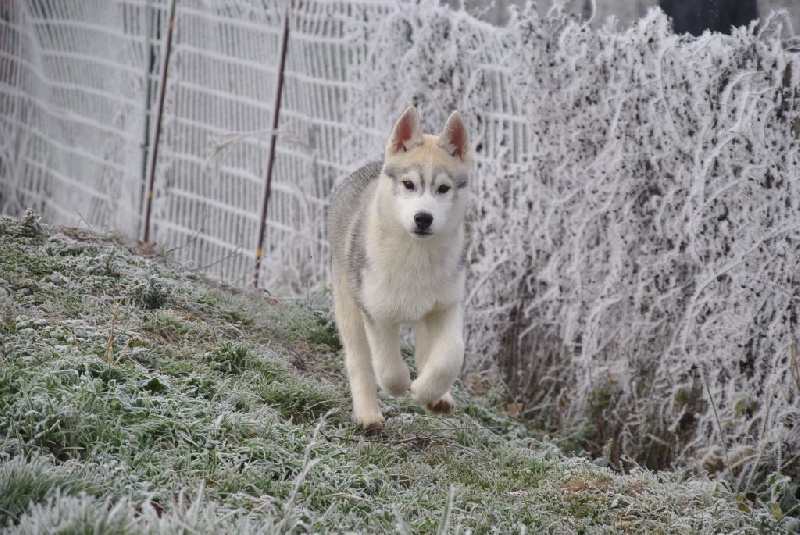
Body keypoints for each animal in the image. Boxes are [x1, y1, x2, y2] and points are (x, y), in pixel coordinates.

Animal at [328, 107, 472, 430]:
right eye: (409, 185)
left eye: (443, 188)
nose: (423, 218)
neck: (416, 256)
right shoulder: (376, 311)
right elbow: (387, 366)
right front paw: (401, 386)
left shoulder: (447, 305)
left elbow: (452, 354)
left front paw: (425, 391)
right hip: (348, 307)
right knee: (359, 360)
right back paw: (368, 416)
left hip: (427, 313)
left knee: (427, 349)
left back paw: (438, 397)